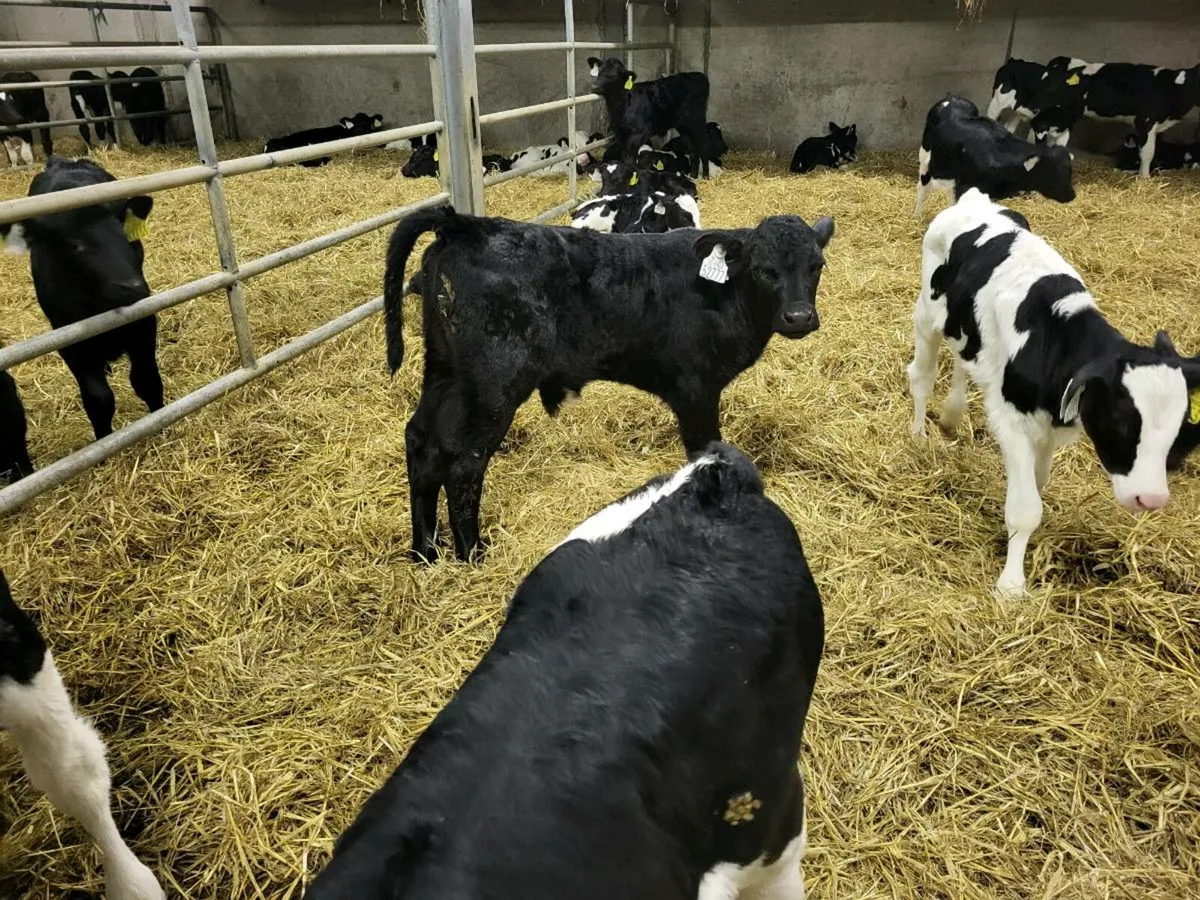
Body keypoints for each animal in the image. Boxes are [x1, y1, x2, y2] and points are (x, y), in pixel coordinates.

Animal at [1, 157, 162, 441]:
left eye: (127, 238)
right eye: (75, 245)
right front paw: (105, 440)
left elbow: (146, 379)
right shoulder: (70, 343)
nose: (133, 287)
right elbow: (98, 398)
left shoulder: (143, 322)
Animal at [382, 205, 833, 563]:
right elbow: (703, 451)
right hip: (493, 384)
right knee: (463, 463)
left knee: (422, 443)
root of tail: (466, 224)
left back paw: (425, 553)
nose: (798, 316)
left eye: (817, 266)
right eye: (763, 269)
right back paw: (472, 554)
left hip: (446, 373)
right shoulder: (696, 390)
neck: (726, 292)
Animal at [907, 188, 1198, 596]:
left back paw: (951, 415)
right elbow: (1026, 509)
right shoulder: (1012, 421)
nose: (1151, 498)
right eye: (1120, 421)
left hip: (964, 330)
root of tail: (974, 200)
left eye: (1179, 430)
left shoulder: (1048, 428)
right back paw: (919, 434)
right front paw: (1011, 586)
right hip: (926, 315)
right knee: (922, 376)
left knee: (963, 364)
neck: (1053, 341)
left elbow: (1037, 483)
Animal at [915, 95, 1075, 217]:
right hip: (925, 158)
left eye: (1069, 171)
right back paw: (918, 215)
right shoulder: (963, 187)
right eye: (1052, 172)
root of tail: (952, 98)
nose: (1072, 195)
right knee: (923, 187)